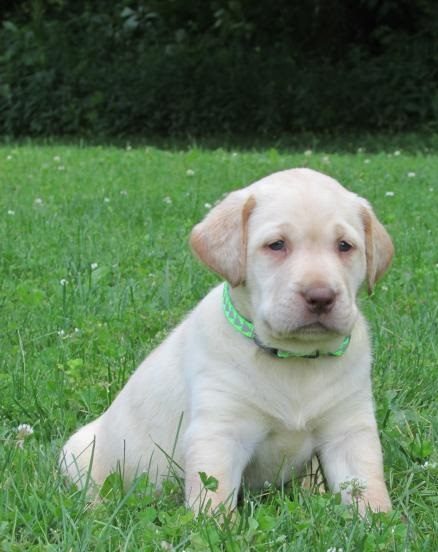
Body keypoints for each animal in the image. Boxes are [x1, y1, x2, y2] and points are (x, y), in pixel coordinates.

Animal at [61, 168, 394, 512]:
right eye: (277, 245)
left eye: (345, 246)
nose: (321, 297)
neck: (294, 358)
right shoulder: (219, 432)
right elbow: (214, 498)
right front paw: (215, 524)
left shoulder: (350, 429)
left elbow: (368, 487)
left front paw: (382, 520)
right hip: (78, 453)